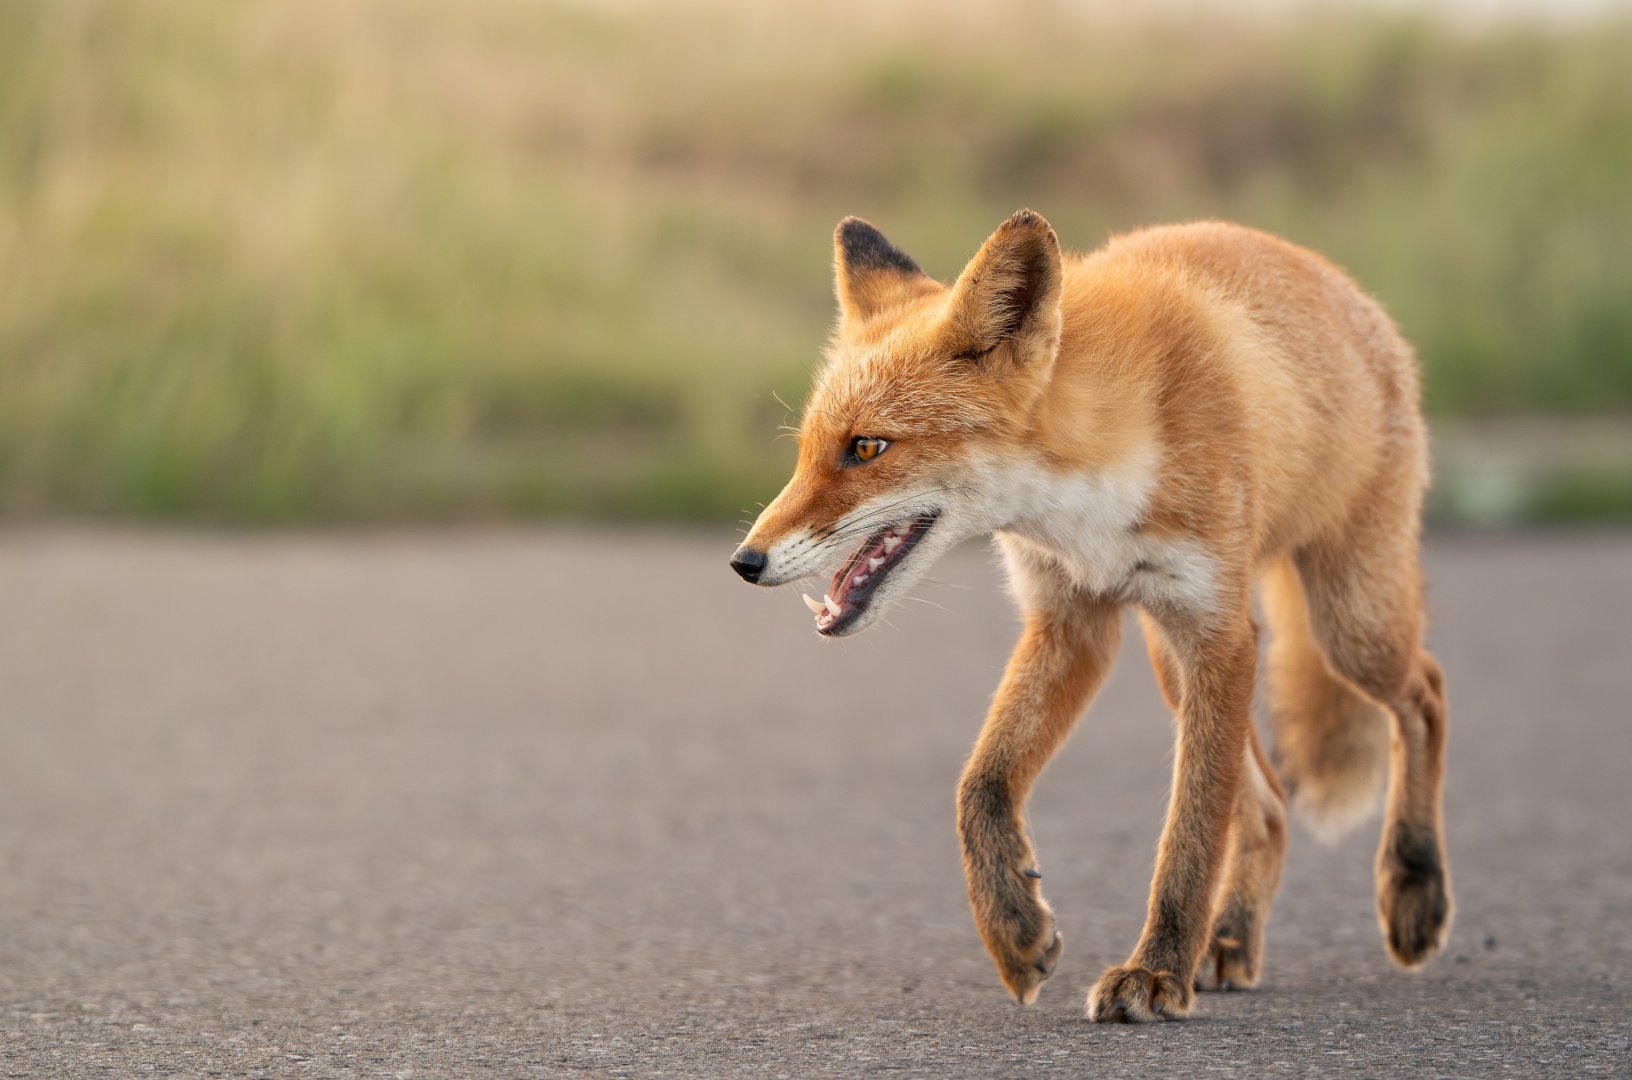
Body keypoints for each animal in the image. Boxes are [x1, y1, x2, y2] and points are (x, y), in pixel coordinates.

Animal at [728, 210, 1451, 1021]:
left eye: (867, 447)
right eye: (807, 453)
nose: (745, 561)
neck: (1088, 501)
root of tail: (1346, 288)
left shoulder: (1220, 633)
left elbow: (1189, 835)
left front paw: (1157, 972)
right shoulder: (1071, 622)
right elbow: (980, 786)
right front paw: (1014, 929)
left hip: (1346, 625)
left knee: (1425, 694)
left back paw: (1413, 888)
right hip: (1175, 661)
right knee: (1267, 807)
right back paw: (1231, 940)